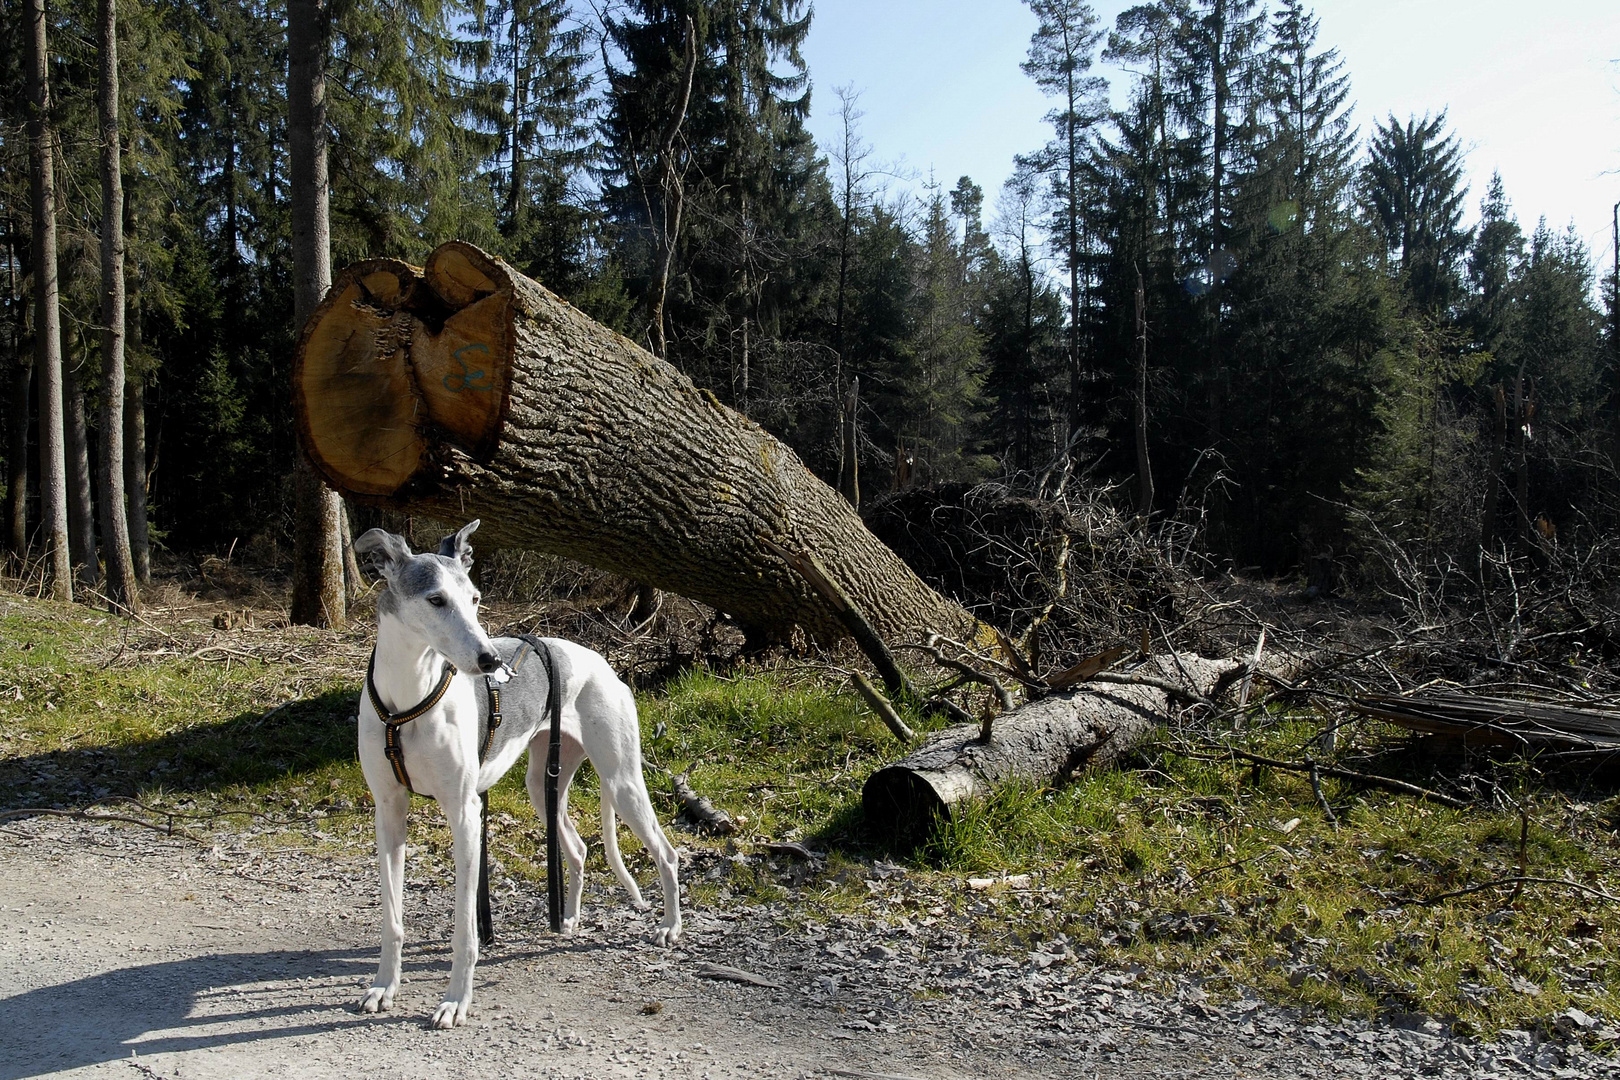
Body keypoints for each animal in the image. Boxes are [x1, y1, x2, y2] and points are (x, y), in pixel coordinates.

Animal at [351, 524, 680, 1029]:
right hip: (545, 786)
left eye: (474, 598)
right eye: (435, 600)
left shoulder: (465, 814)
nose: (490, 662)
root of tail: (602, 662)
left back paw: (669, 926)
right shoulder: (388, 812)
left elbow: (465, 929)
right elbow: (392, 919)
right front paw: (384, 986)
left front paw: (455, 1001)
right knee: (578, 849)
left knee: (668, 853)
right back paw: (568, 920)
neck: (407, 702)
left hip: (622, 781)